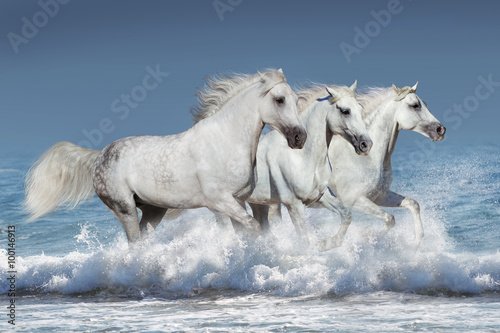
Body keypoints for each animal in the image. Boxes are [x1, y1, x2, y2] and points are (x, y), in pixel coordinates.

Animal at [27, 68, 308, 243]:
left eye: (296, 100)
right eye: (280, 99)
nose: (300, 138)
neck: (224, 141)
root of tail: (100, 155)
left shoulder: (237, 200)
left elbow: (247, 231)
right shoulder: (219, 202)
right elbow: (252, 228)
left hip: (153, 210)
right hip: (124, 209)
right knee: (135, 244)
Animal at [218, 80, 372, 246]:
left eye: (360, 109)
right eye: (345, 111)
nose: (366, 144)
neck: (302, 156)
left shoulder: (320, 197)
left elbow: (347, 215)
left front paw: (326, 244)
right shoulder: (294, 205)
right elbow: (304, 241)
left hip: (257, 202)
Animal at [314, 83, 448, 249]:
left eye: (425, 103)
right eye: (415, 105)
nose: (440, 130)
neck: (365, 158)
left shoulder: (380, 196)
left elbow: (413, 204)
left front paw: (416, 242)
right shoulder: (355, 201)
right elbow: (390, 218)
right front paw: (367, 237)